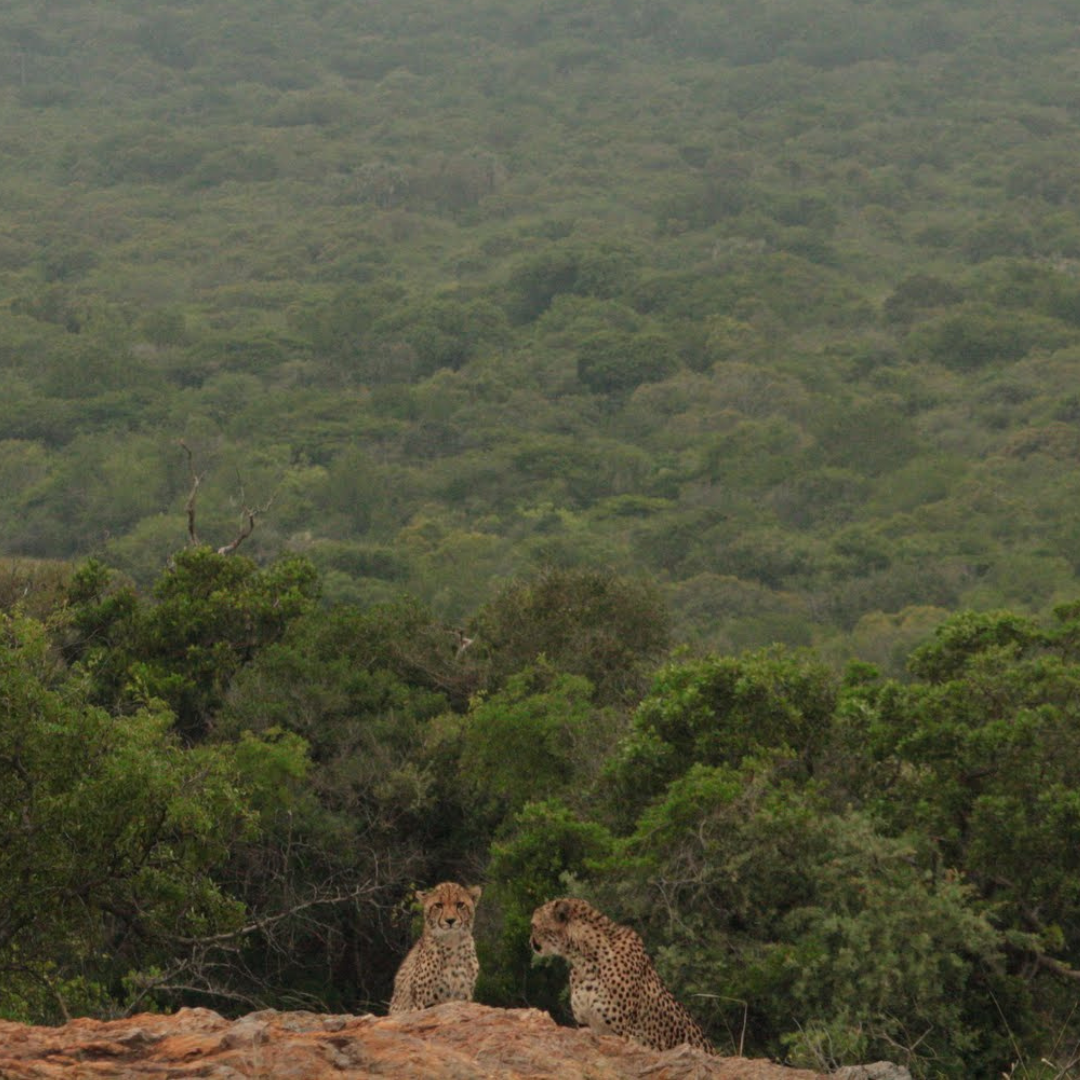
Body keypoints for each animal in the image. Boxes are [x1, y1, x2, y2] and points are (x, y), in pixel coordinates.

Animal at [388, 882, 482, 1014]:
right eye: (438, 905)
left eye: (460, 904)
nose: (450, 920)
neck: (452, 944)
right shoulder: (422, 1003)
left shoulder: (462, 997)